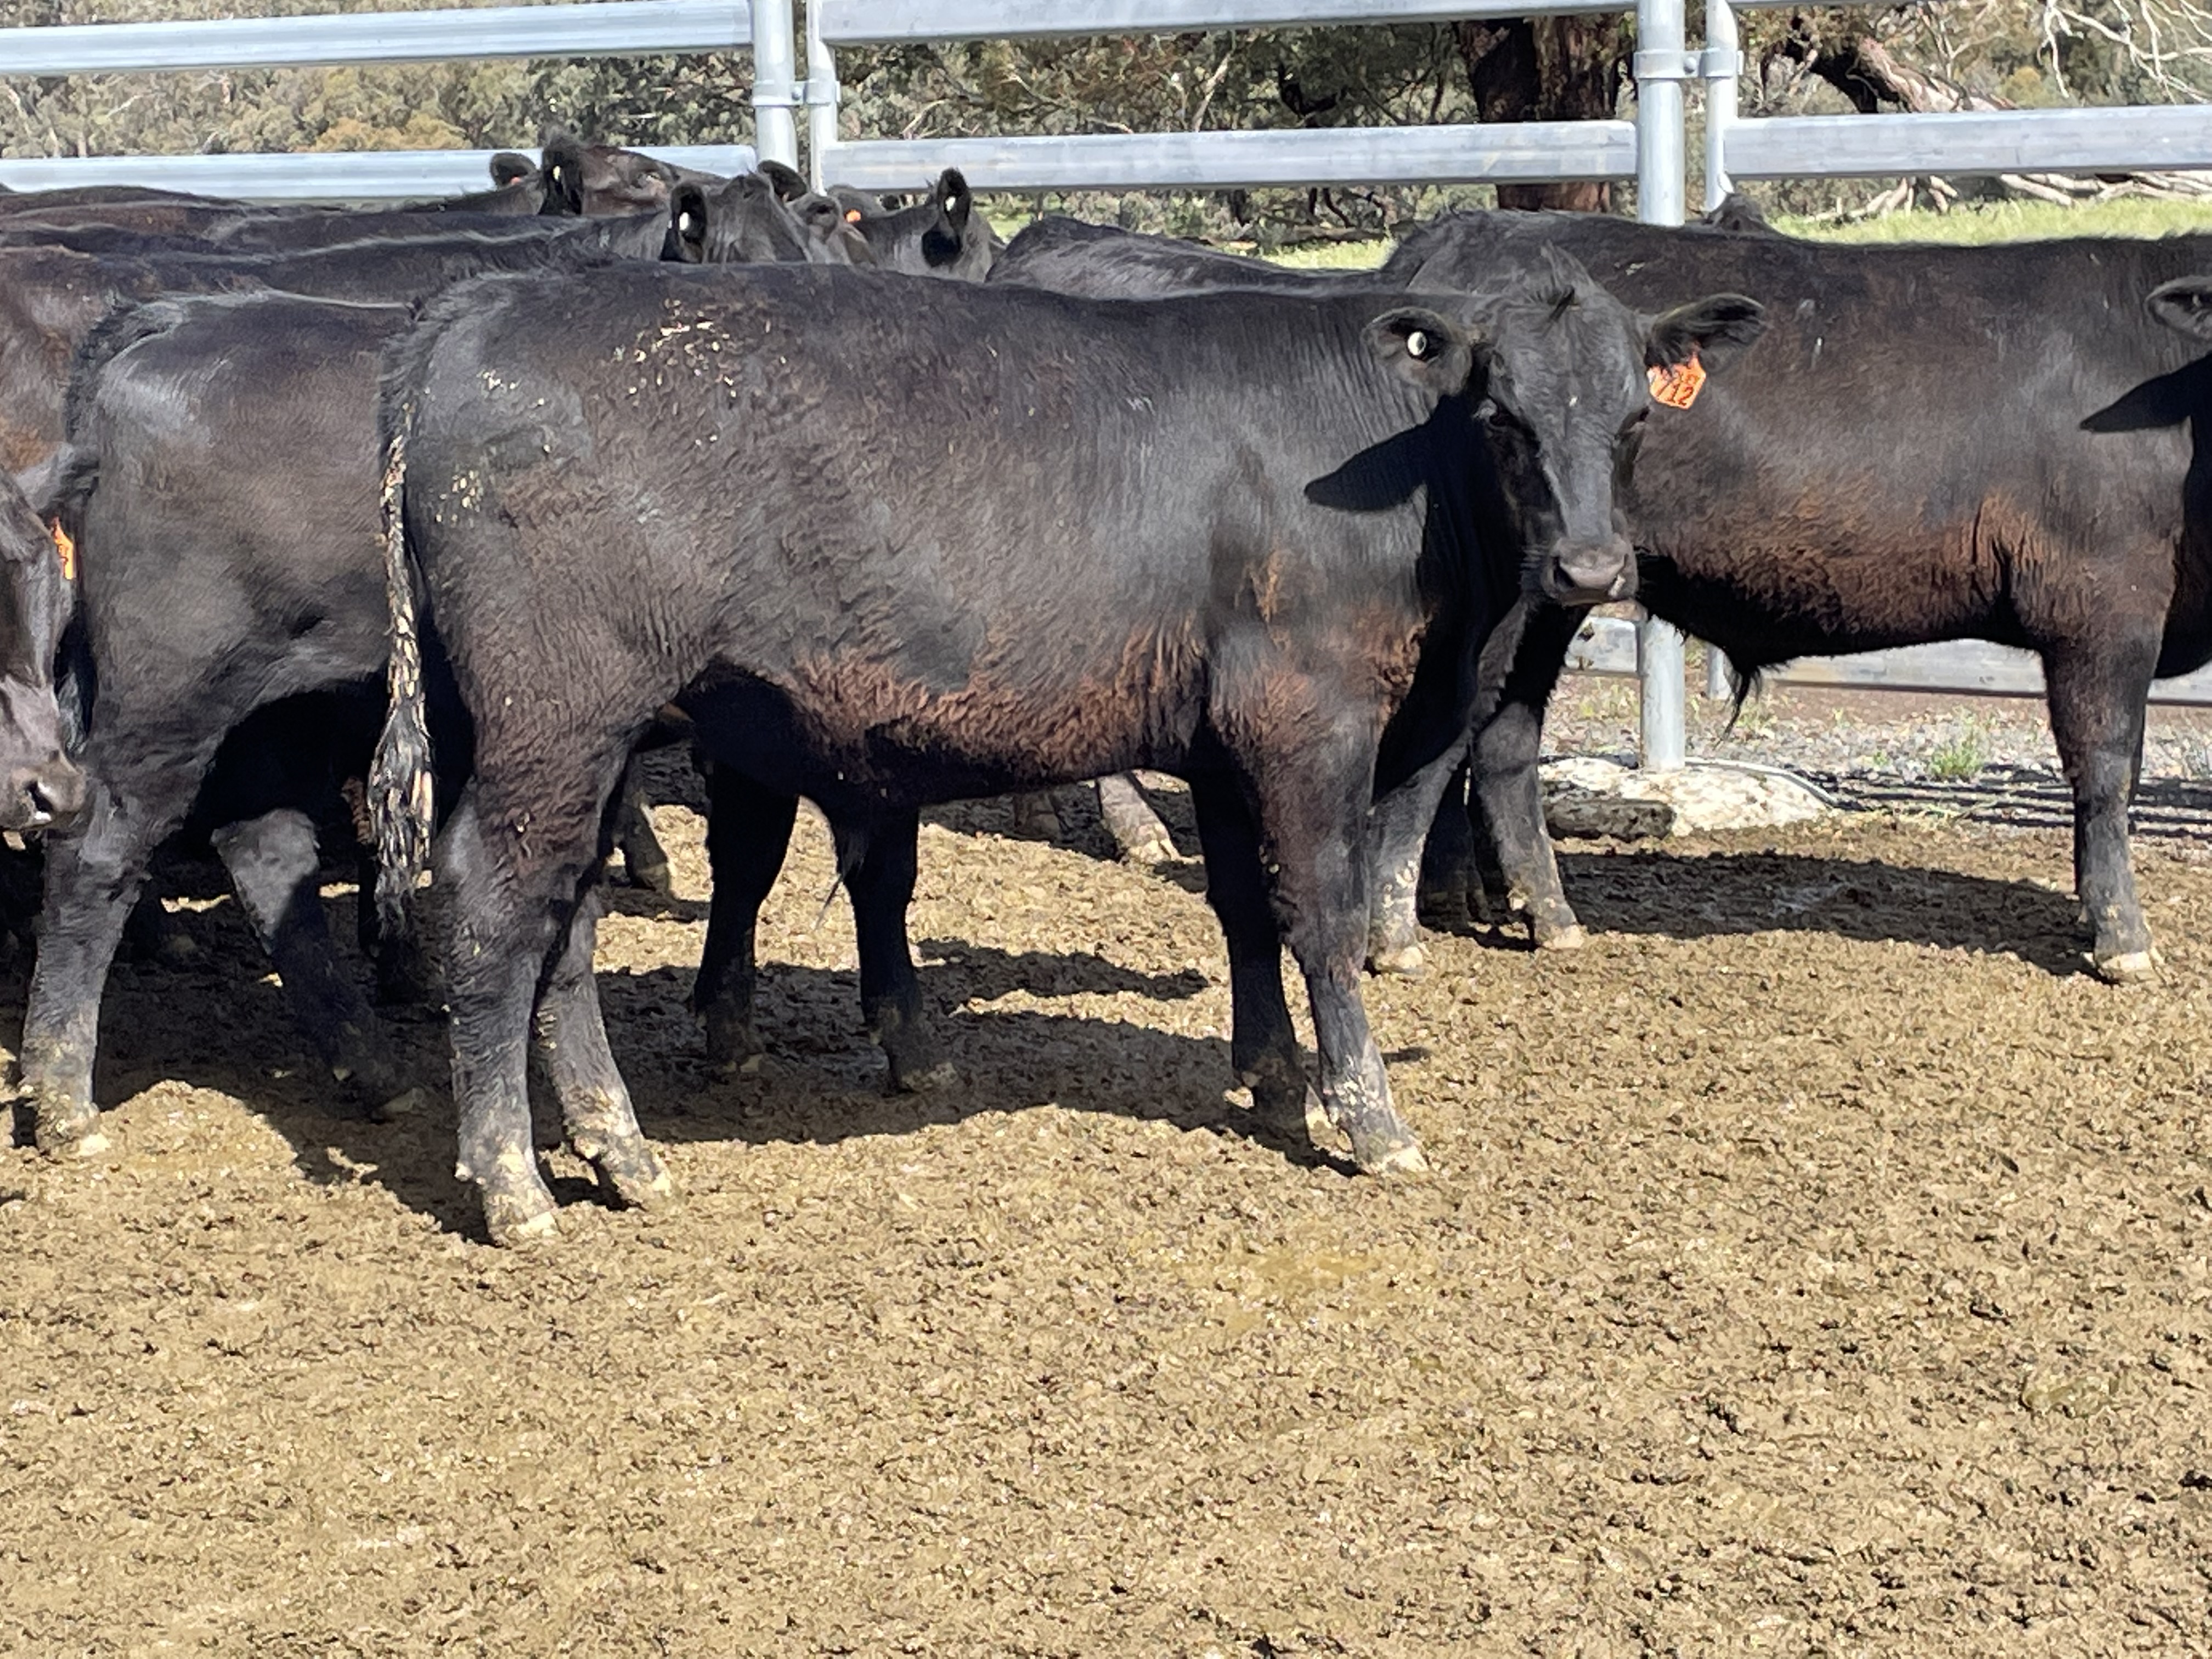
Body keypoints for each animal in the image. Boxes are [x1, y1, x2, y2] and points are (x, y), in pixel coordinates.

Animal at [367, 258, 1756, 1244]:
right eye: (1505, 417)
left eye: (1634, 418)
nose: (1592, 568)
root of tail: (483, 300)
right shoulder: (1310, 719)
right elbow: (1320, 913)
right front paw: (1364, 1114)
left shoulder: (1218, 741)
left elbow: (1242, 908)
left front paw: (1266, 1076)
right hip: (556, 722)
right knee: (499, 910)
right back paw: (514, 1185)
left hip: (566, 739)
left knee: (566, 923)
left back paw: (618, 1150)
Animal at [1379, 209, 2212, 982]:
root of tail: (1462, 228)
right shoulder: (2101, 599)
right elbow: (2107, 765)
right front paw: (2122, 937)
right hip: (1523, 592)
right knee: (1478, 737)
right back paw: (1463, 922)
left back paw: (1488, 901)